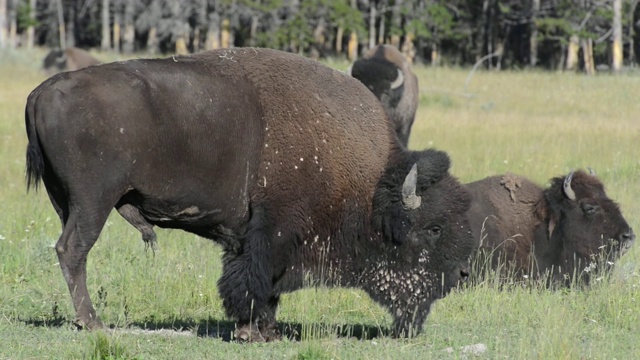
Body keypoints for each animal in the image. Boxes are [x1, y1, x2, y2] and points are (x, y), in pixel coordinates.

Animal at [25, 47, 476, 340]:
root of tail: (41, 91)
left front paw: (265, 331)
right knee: (73, 250)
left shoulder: (254, 236)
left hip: (67, 203)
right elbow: (255, 280)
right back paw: (92, 323)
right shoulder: (274, 229)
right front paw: (252, 332)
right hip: (93, 202)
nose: (460, 274)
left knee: (69, 250)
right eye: (434, 229)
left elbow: (261, 282)